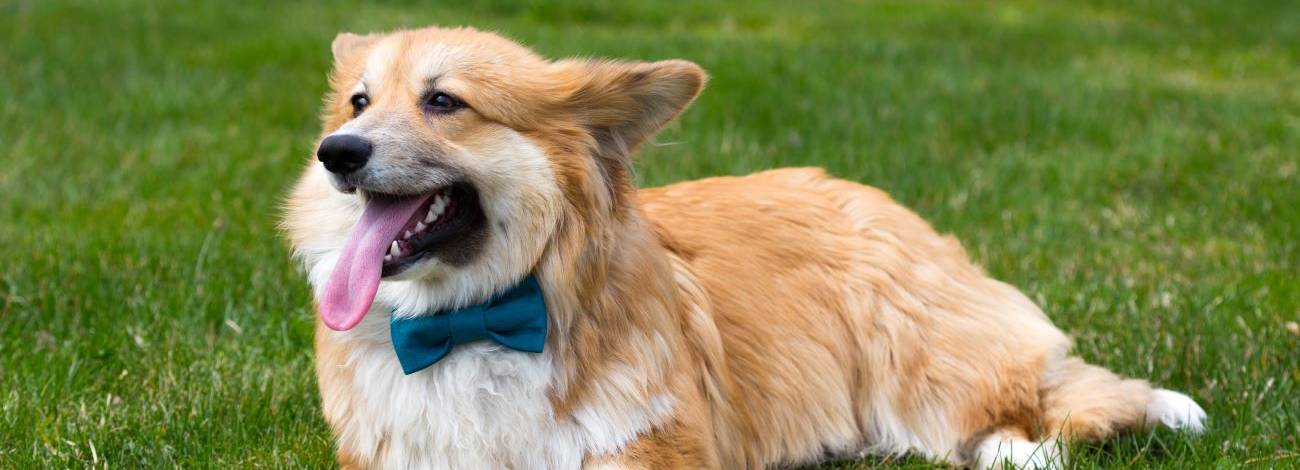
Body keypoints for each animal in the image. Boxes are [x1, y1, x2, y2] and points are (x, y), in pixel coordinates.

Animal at [287, 26, 1206, 470]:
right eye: (360, 101)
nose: (338, 152)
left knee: (1044, 408)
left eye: (443, 102)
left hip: (923, 367)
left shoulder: (648, 450)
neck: (475, 319)